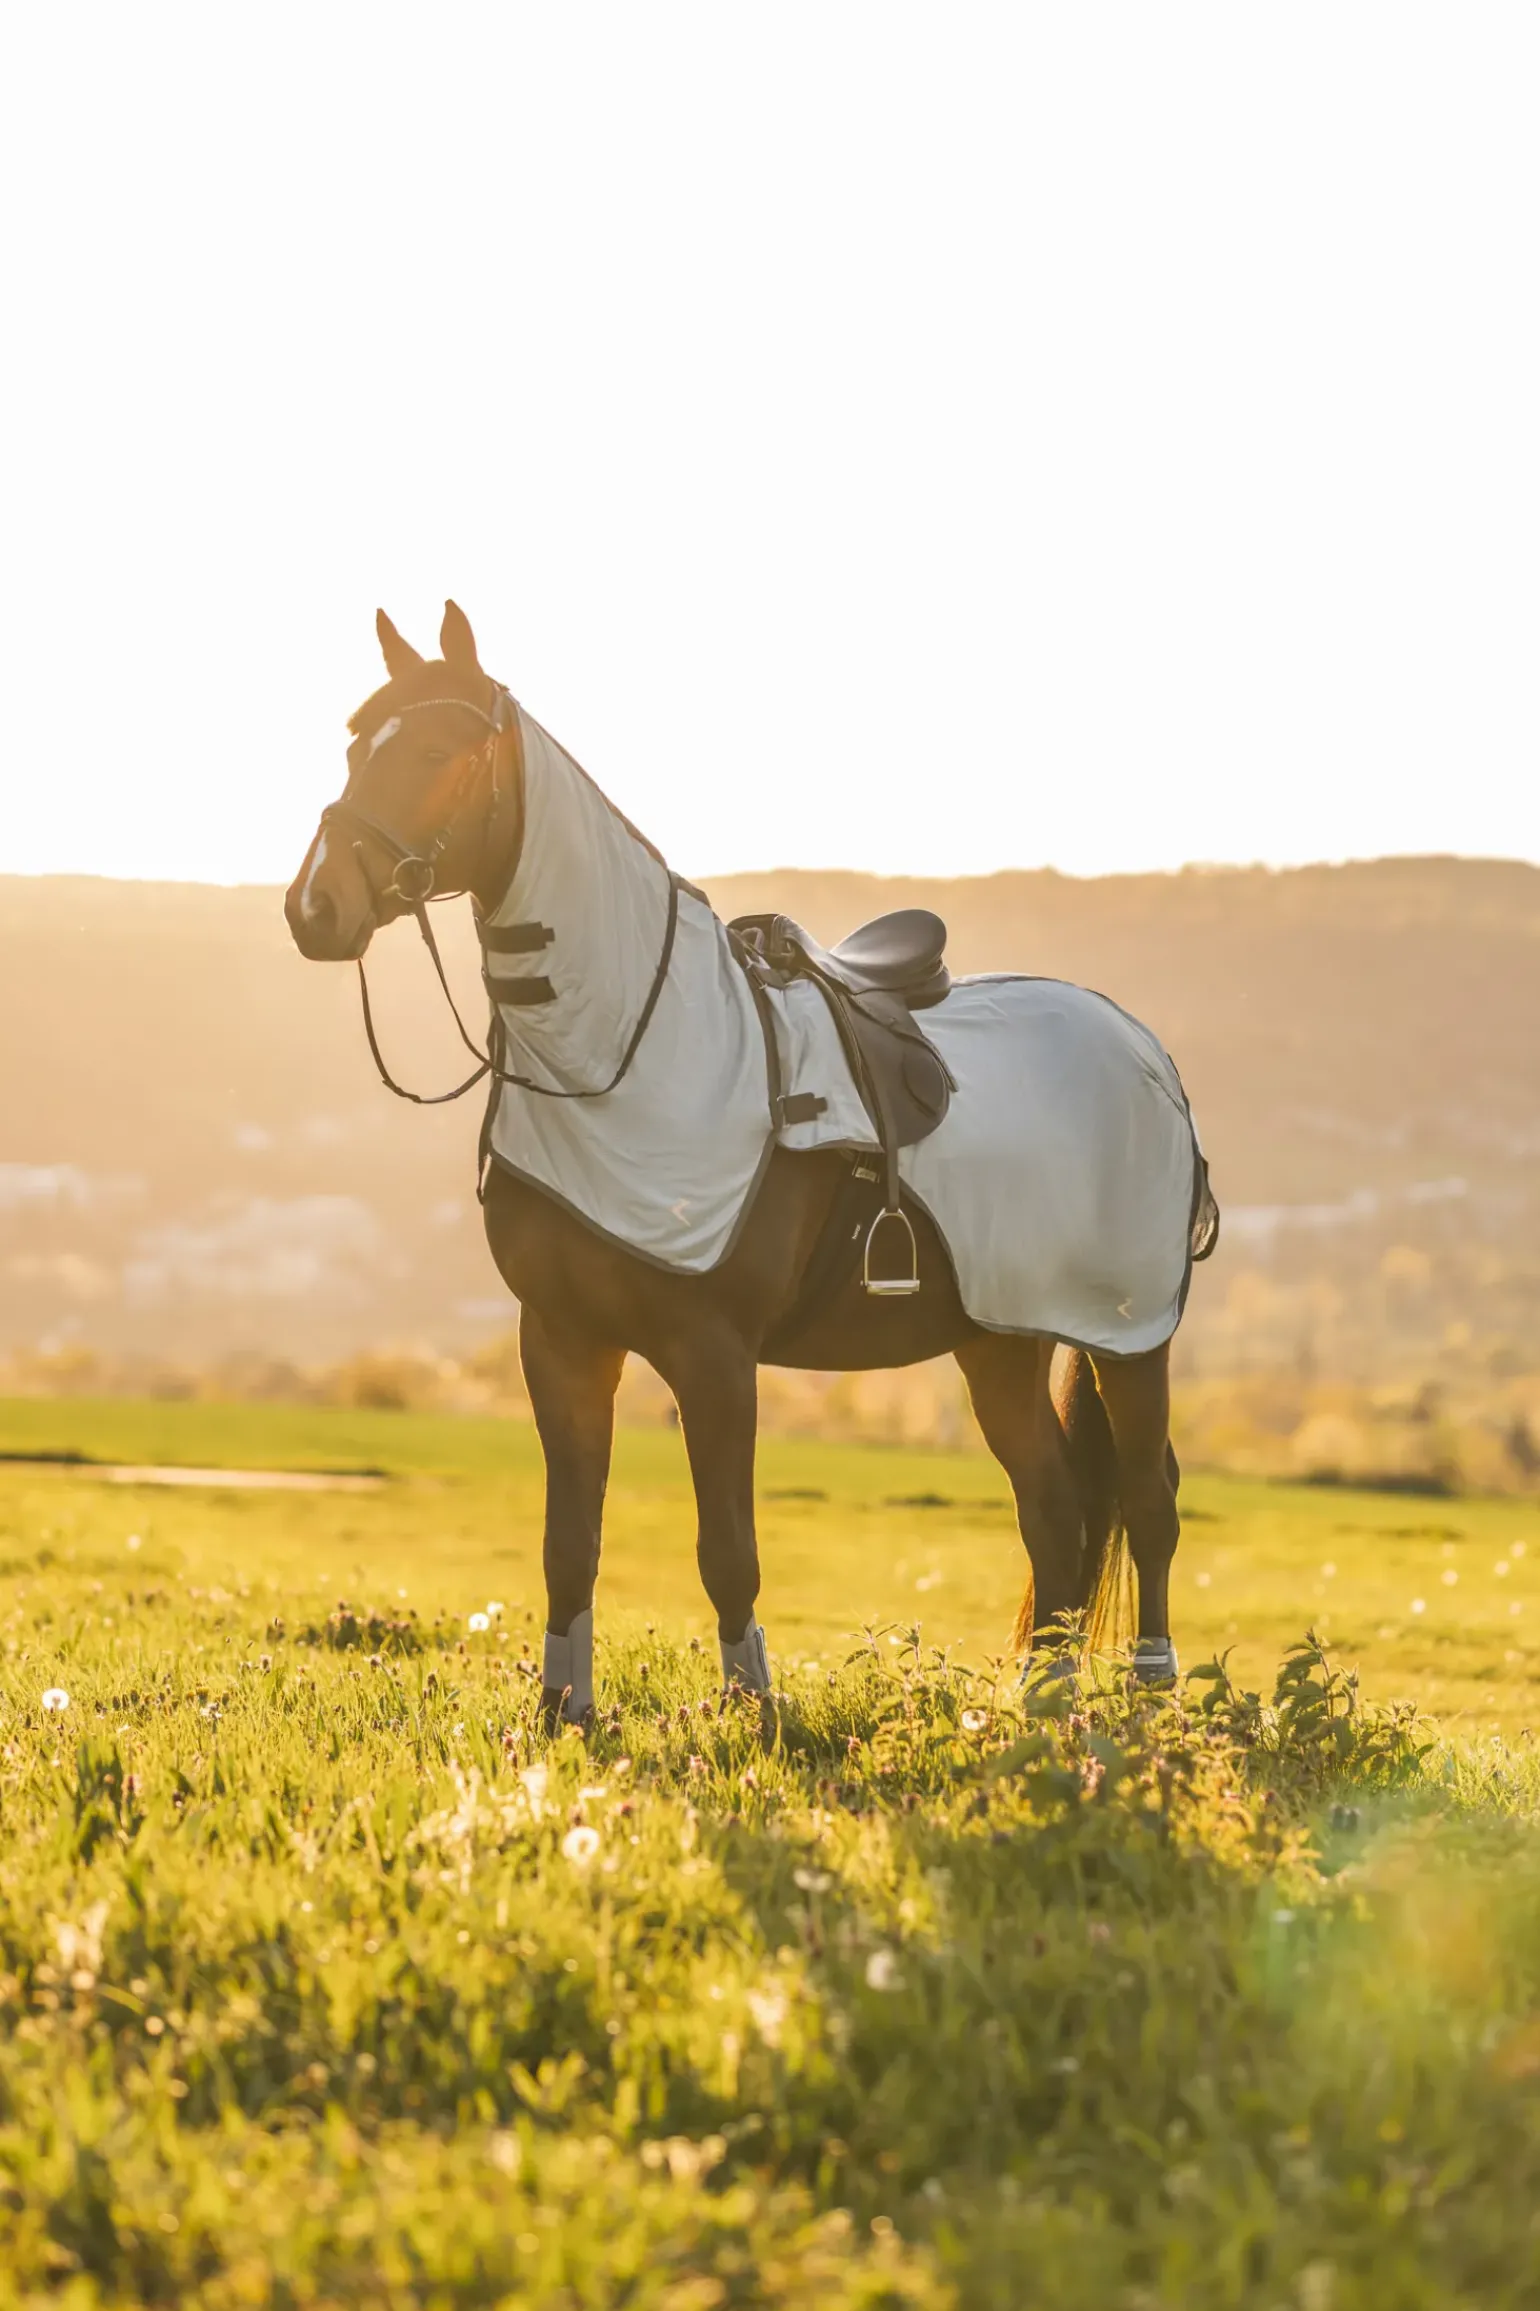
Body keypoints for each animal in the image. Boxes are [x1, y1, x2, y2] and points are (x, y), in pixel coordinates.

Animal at [285, 601, 1215, 1725]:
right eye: (352, 748)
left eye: (431, 750)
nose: (314, 907)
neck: (626, 1054)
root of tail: (1147, 1054)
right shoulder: (559, 1339)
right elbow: (569, 1543)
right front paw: (564, 1711)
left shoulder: (714, 1352)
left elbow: (727, 1548)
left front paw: (753, 1710)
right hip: (998, 1337)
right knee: (1052, 1504)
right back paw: (1041, 1703)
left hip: (1129, 1337)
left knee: (1147, 1500)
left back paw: (1152, 1695)